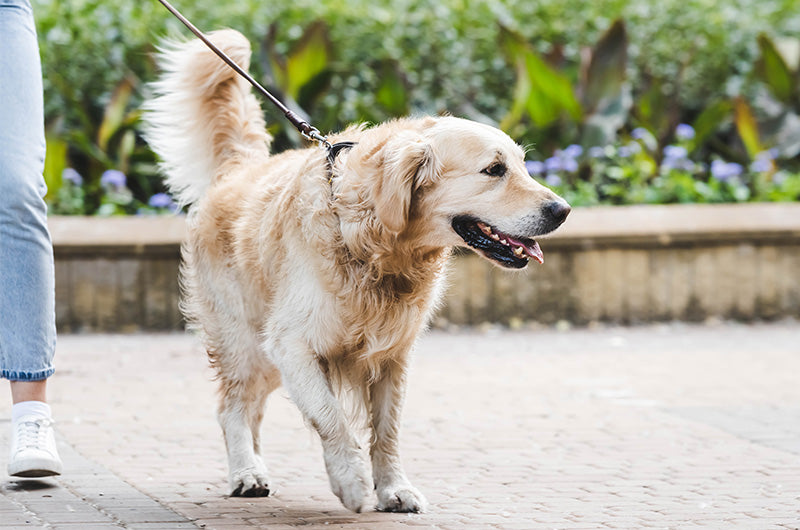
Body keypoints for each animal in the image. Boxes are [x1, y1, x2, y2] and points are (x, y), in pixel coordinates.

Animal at [144, 29, 568, 512]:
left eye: (522, 165)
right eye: (494, 170)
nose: (563, 210)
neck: (372, 242)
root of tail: (238, 169)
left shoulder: (392, 356)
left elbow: (388, 430)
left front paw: (394, 488)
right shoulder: (292, 344)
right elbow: (331, 417)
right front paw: (350, 481)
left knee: (251, 410)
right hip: (248, 343)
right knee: (232, 406)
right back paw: (246, 473)